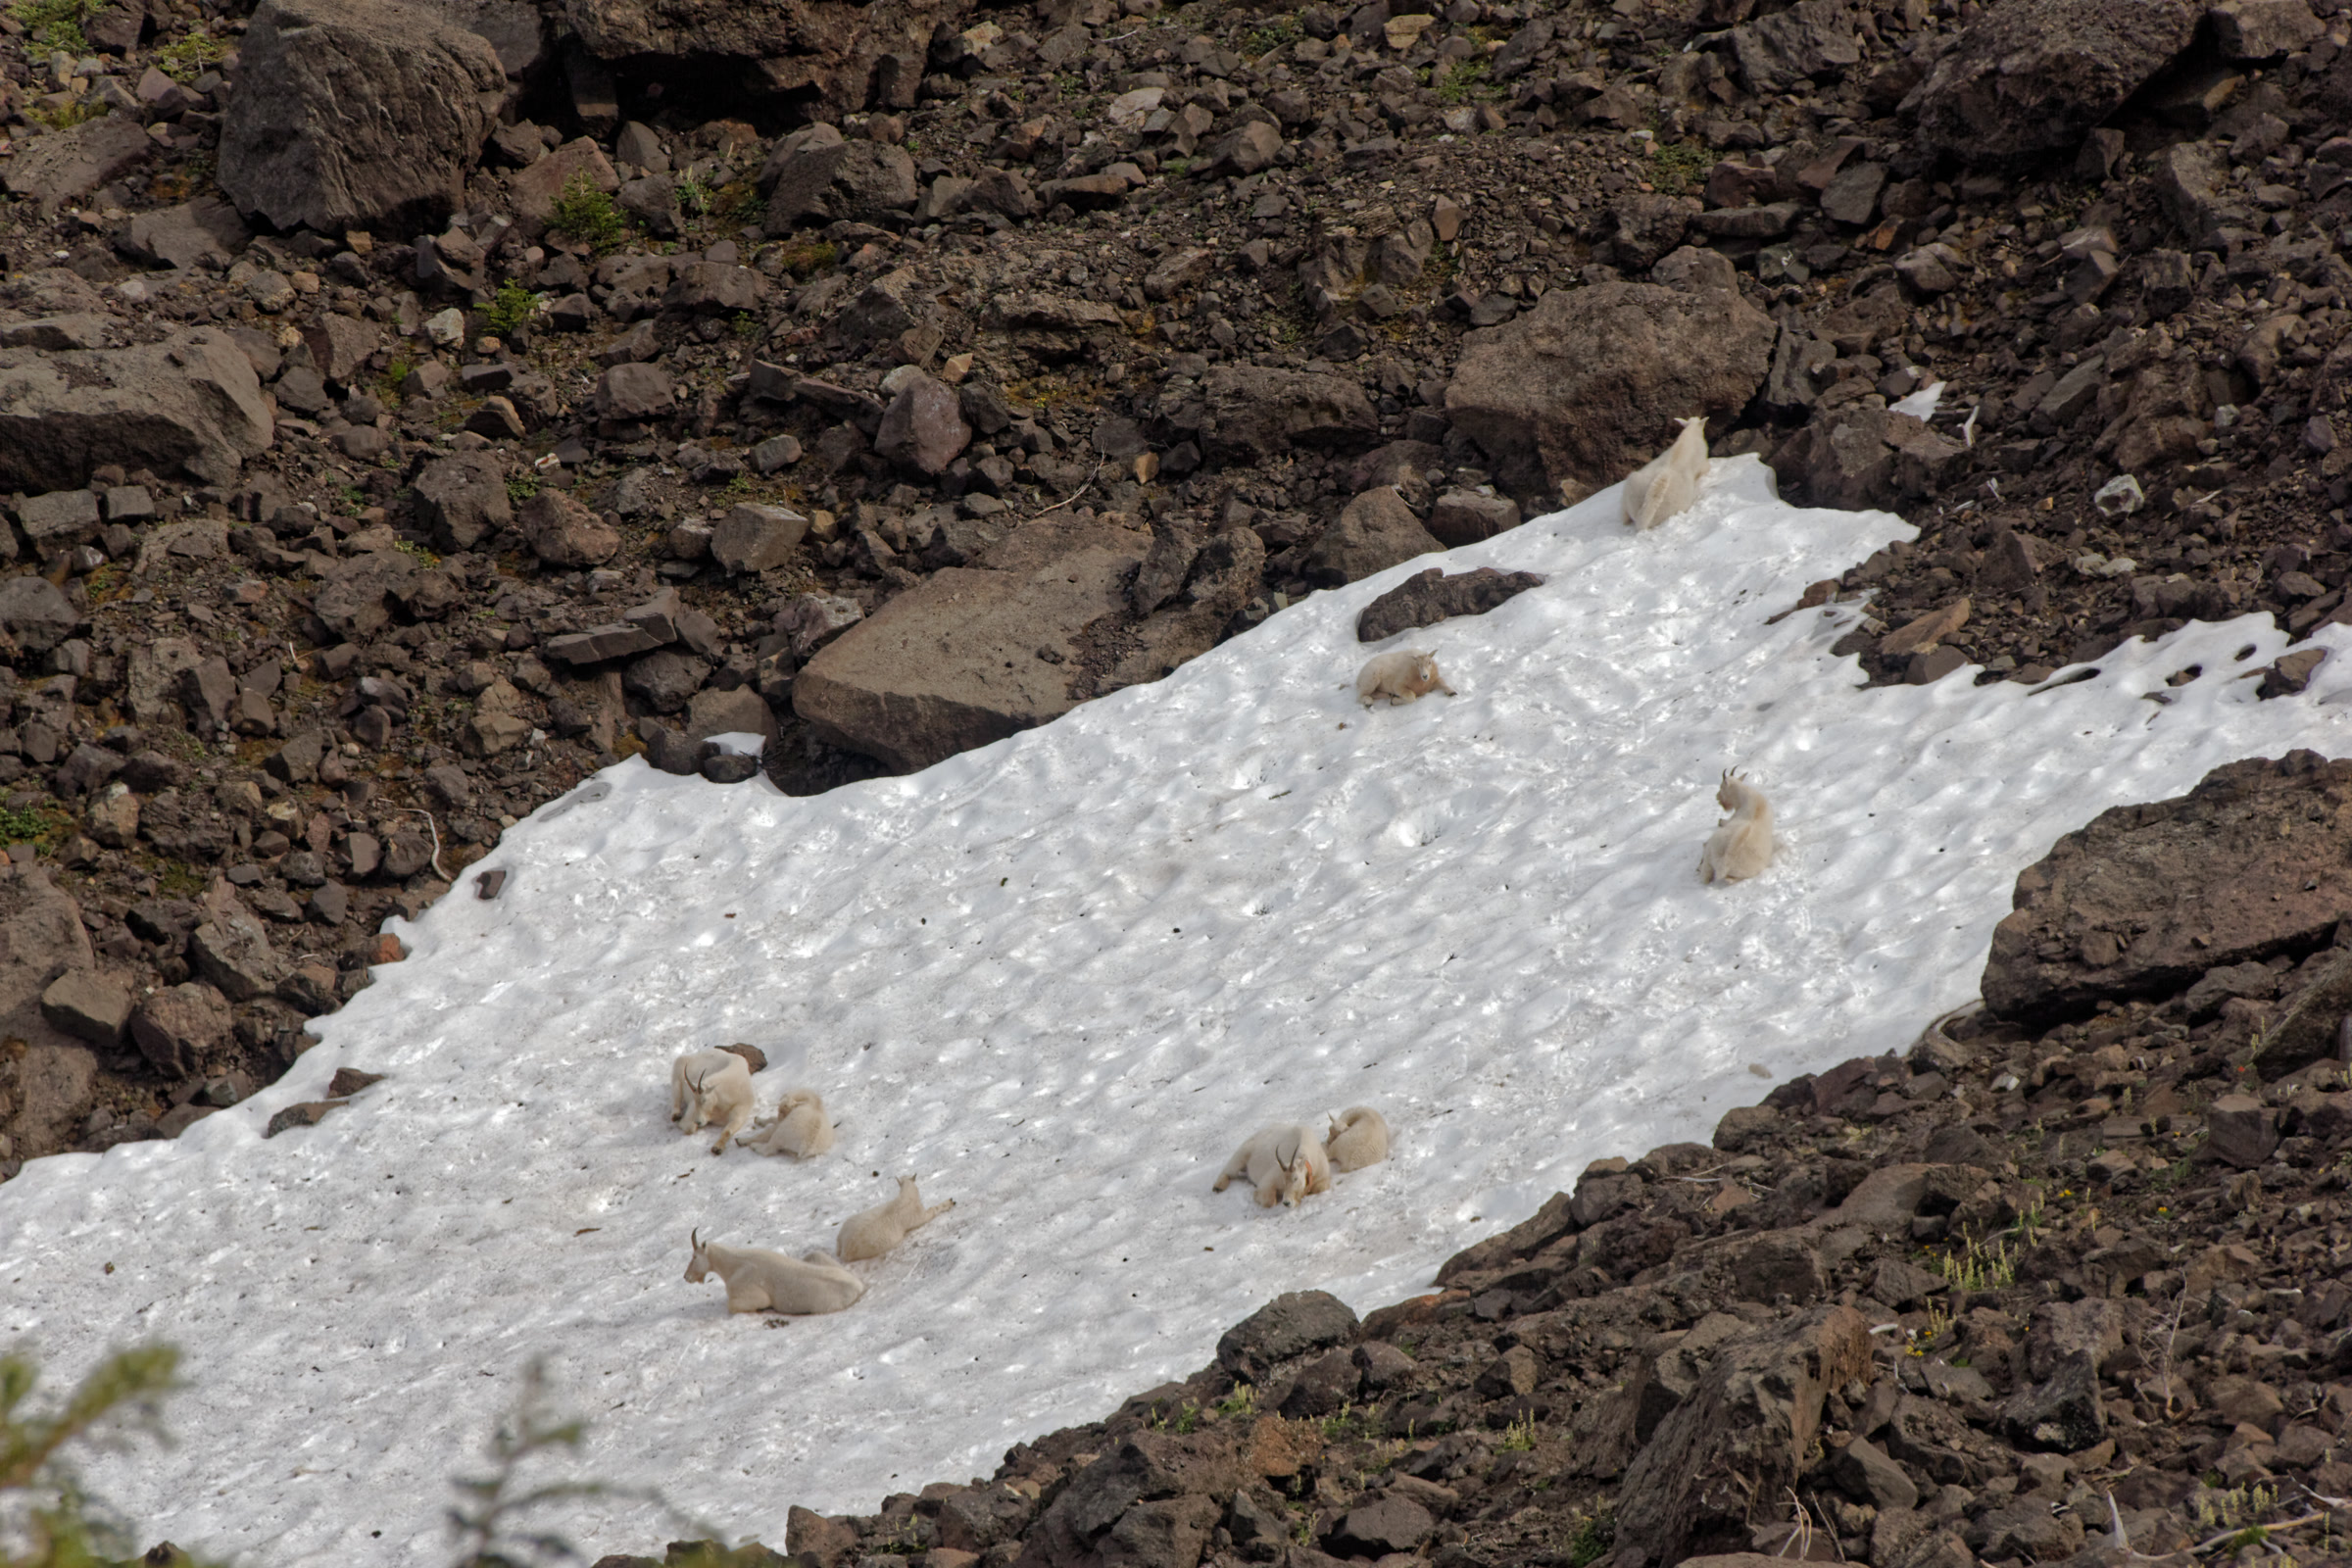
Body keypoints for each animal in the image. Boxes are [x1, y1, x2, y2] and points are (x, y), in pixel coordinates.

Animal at [685, 1229, 866, 1315]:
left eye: (694, 1256)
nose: (686, 1276)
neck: (734, 1265)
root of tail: (858, 1286)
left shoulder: (754, 1296)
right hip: (817, 1256)